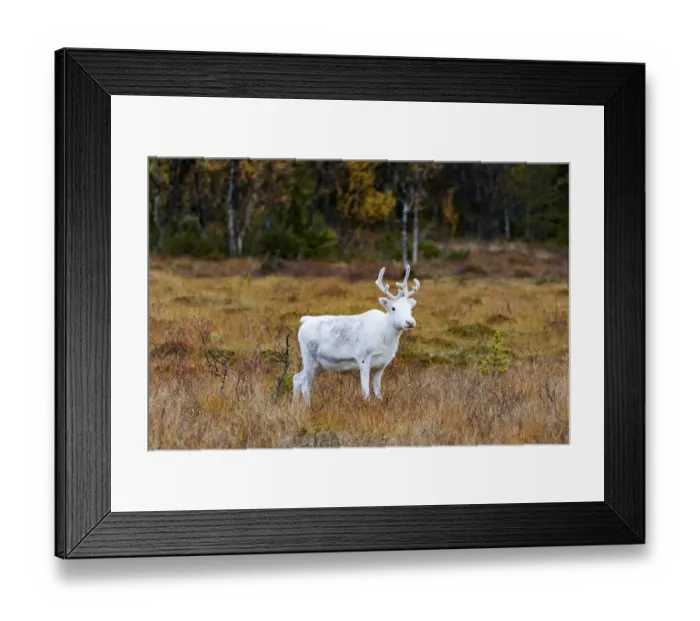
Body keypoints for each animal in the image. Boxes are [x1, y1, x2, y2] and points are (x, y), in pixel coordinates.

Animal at [293, 265, 420, 404]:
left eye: (410, 308)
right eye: (393, 308)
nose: (410, 322)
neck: (385, 340)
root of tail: (304, 321)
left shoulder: (381, 365)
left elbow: (378, 393)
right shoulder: (363, 359)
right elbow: (366, 393)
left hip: (320, 365)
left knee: (297, 378)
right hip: (309, 358)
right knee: (305, 386)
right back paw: (308, 406)